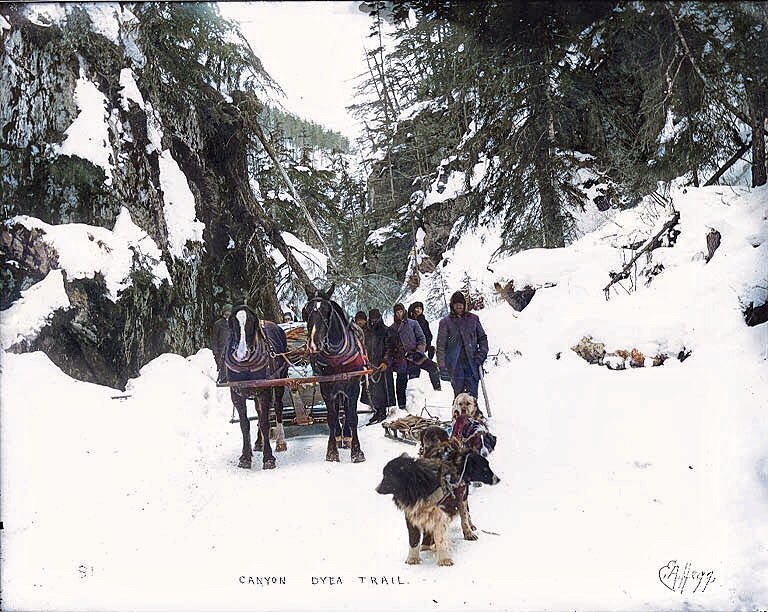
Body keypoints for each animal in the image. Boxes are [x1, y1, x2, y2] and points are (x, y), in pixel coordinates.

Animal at [304, 284, 368, 462]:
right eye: (306, 311)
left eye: (327, 310)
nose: (313, 345)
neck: (336, 356)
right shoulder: (326, 388)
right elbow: (331, 418)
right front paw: (332, 450)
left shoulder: (353, 387)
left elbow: (352, 416)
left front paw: (356, 451)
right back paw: (340, 436)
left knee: (345, 409)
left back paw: (347, 436)